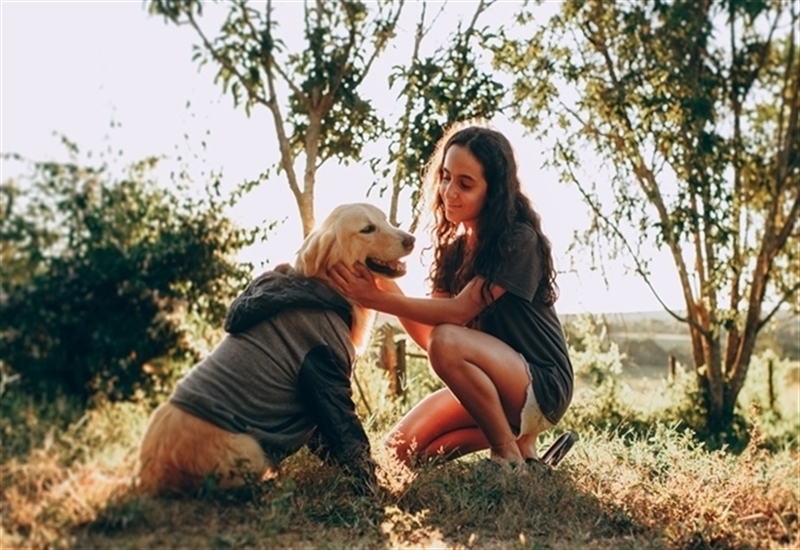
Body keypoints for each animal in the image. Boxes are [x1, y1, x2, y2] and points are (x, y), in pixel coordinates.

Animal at [136, 205, 412, 498]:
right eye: (367, 229)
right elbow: (350, 439)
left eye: (385, 220)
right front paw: (372, 487)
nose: (411, 240)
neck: (326, 289)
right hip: (248, 447)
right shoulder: (325, 375)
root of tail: (149, 475)